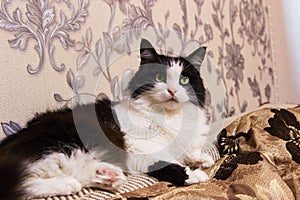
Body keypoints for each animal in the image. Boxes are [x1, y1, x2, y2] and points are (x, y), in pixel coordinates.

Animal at [0, 38, 216, 199]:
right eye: (159, 78)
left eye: (184, 80)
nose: (172, 91)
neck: (168, 117)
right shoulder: (141, 151)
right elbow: (171, 165)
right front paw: (195, 174)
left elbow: (189, 152)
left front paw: (200, 159)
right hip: (56, 146)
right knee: (22, 183)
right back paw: (69, 184)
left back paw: (107, 176)